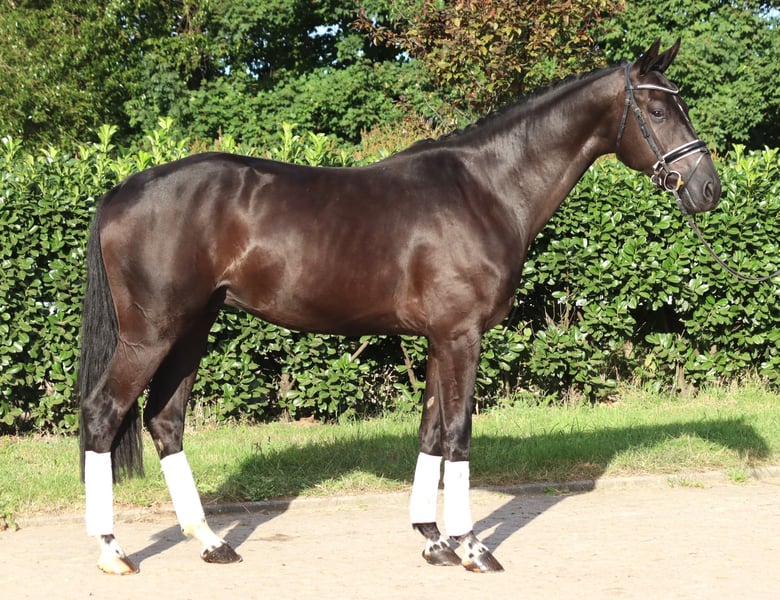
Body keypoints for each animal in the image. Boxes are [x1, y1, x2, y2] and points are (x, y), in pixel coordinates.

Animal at [78, 39, 720, 575]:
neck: (486, 189)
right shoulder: (462, 336)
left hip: (192, 329)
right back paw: (112, 552)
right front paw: (472, 547)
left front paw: (433, 539)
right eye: (658, 111)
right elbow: (458, 434)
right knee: (103, 413)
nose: (708, 189)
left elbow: (431, 431)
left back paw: (211, 542)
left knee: (165, 420)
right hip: (151, 334)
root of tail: (120, 192)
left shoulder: (440, 339)